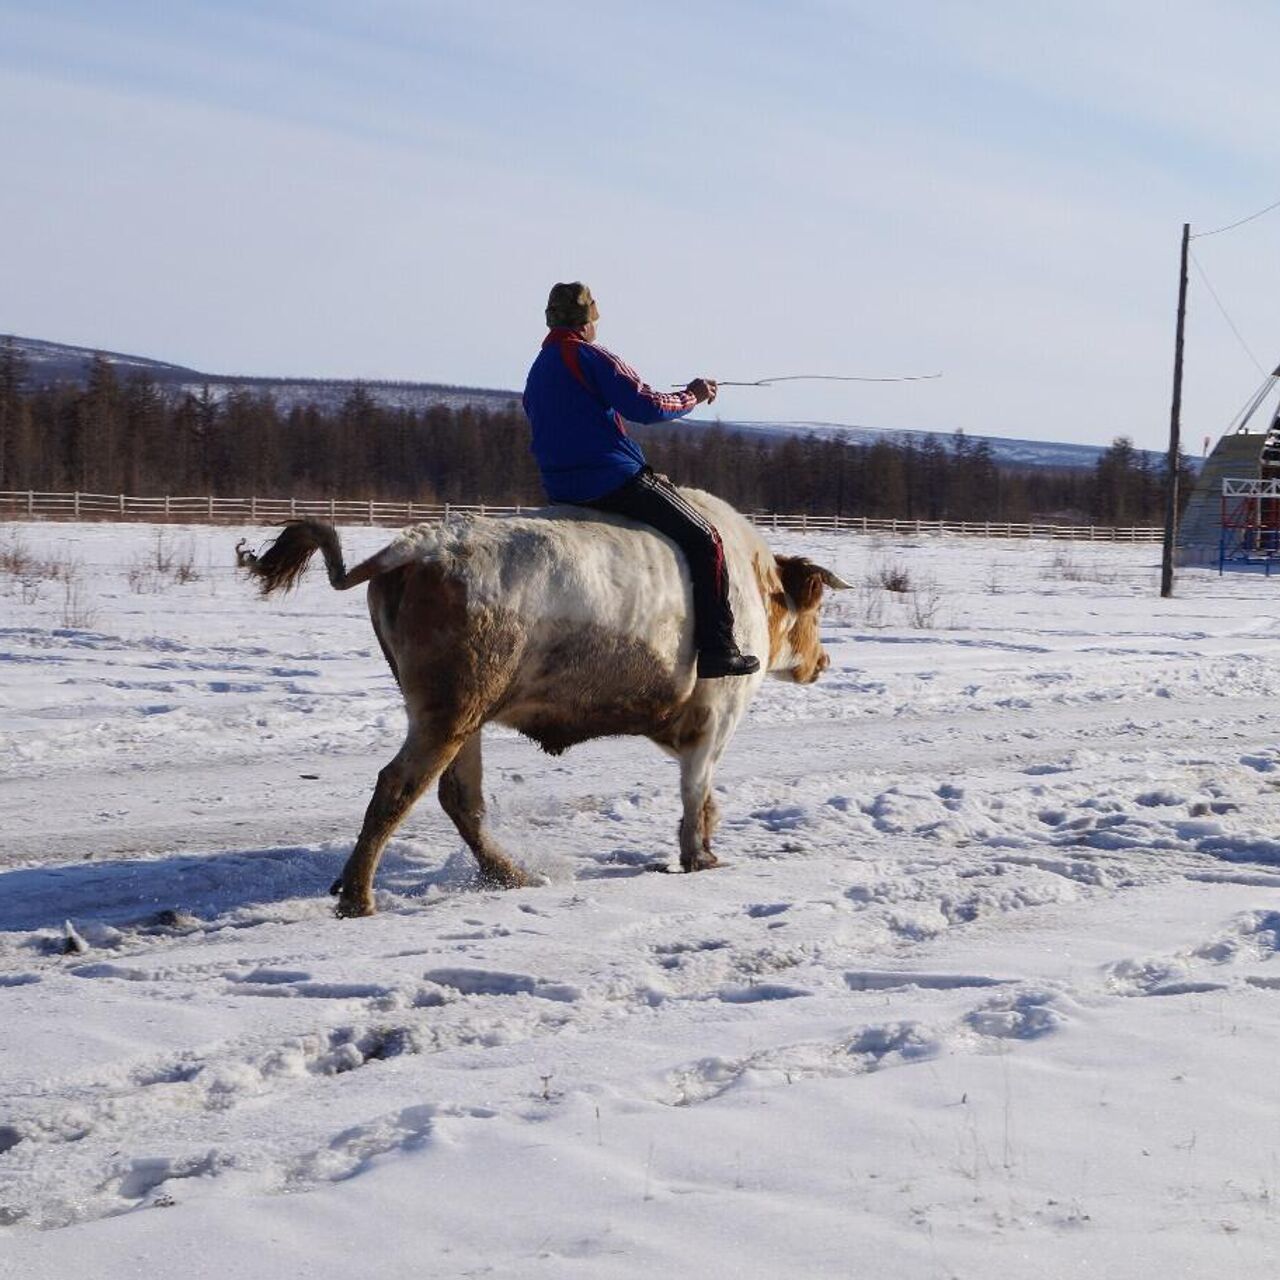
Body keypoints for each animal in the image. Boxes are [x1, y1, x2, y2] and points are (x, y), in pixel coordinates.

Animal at [235, 488, 844, 921]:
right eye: (815, 610)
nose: (823, 661)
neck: (753, 581)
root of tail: (412, 547)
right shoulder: (716, 714)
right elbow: (696, 790)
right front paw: (700, 857)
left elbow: (704, 794)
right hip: (448, 711)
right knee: (398, 787)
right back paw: (359, 898)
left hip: (463, 717)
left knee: (460, 798)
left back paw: (512, 875)